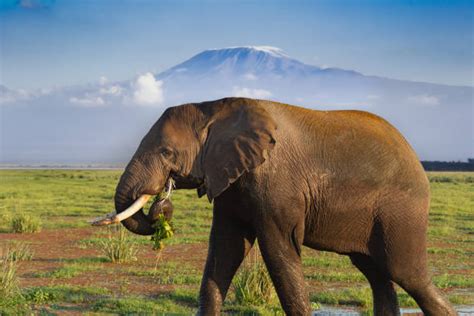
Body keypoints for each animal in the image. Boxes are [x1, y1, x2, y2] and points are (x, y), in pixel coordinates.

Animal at [104, 97, 456, 314]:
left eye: (166, 152)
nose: (161, 202)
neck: (214, 107)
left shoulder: (277, 189)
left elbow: (279, 254)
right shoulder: (232, 182)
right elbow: (224, 253)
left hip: (402, 210)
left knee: (407, 273)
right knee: (376, 274)